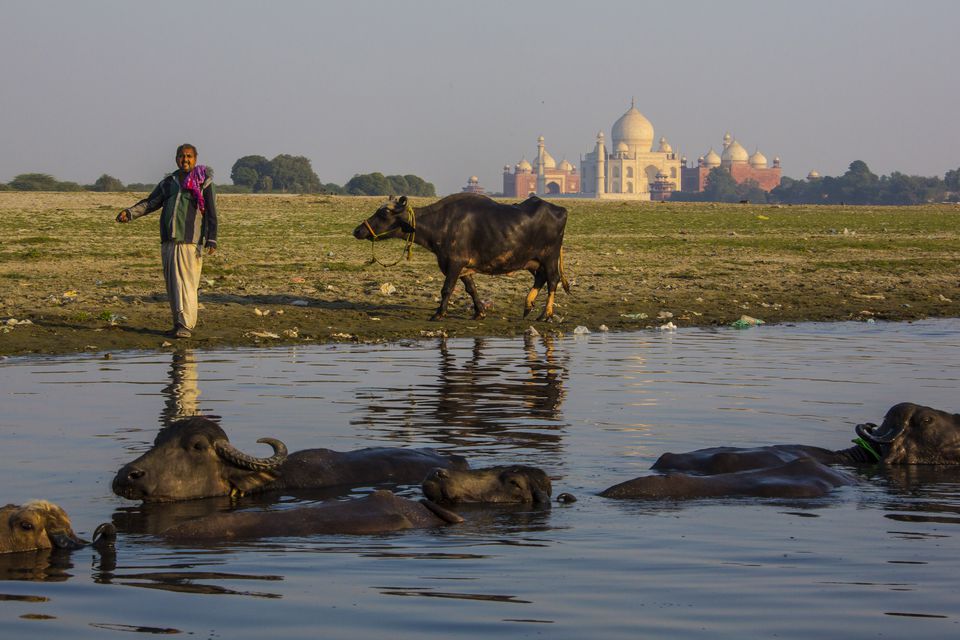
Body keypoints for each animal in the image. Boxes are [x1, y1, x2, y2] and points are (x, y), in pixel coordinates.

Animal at [354, 191, 568, 318]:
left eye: (383, 214)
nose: (357, 230)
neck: (441, 224)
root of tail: (560, 209)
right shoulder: (461, 266)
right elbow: (471, 288)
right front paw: (479, 311)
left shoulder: (456, 263)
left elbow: (447, 289)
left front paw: (439, 313)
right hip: (533, 261)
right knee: (541, 278)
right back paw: (528, 305)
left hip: (550, 257)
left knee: (552, 280)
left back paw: (545, 314)